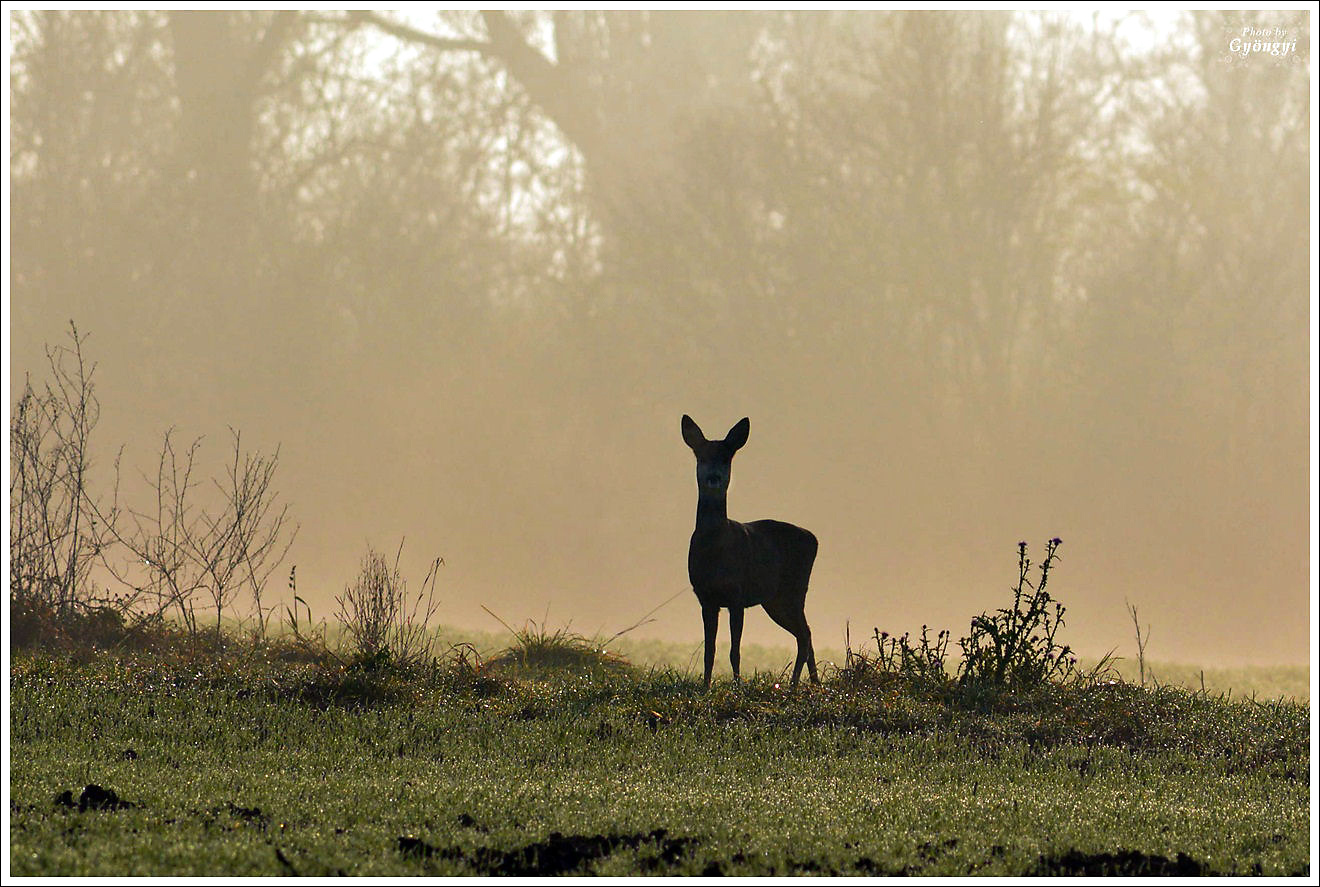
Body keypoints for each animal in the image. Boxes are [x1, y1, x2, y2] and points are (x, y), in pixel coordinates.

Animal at [681, 417, 813, 691]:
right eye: (701, 456)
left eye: (726, 457)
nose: (713, 477)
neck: (714, 549)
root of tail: (814, 539)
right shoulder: (705, 597)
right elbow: (709, 650)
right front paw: (706, 686)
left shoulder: (737, 595)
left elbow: (735, 651)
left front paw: (737, 686)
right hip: (775, 600)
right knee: (807, 632)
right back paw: (813, 682)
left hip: (794, 590)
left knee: (804, 634)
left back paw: (794, 685)